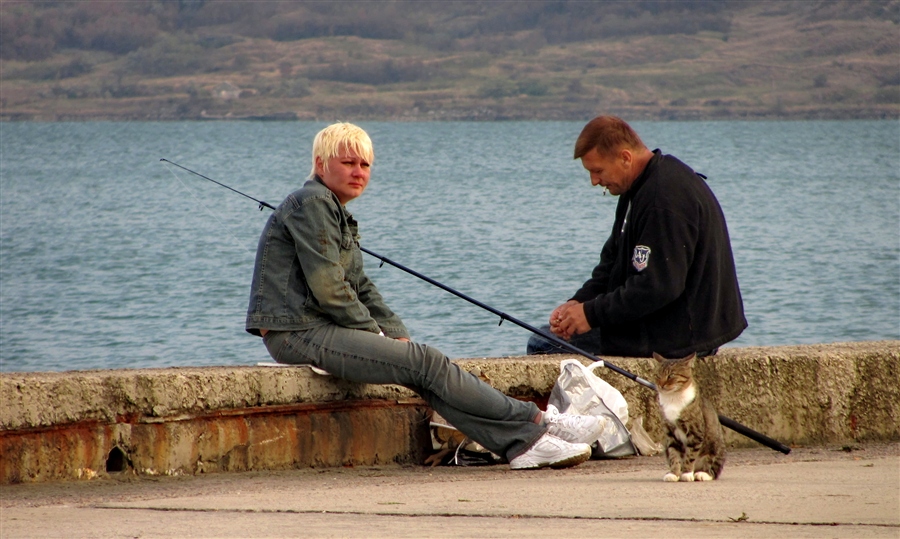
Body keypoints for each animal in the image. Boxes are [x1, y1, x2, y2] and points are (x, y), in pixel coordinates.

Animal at [652, 352, 728, 484]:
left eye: (671, 375)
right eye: (657, 375)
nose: (660, 385)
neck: (673, 399)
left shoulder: (695, 432)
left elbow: (690, 455)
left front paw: (686, 473)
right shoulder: (670, 434)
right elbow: (674, 455)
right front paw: (674, 473)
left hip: (716, 446)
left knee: (713, 468)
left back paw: (702, 474)